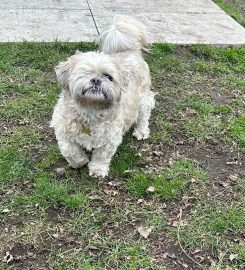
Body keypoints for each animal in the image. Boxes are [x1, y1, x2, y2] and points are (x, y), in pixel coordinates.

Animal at [50, 15, 155, 178]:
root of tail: (130, 50)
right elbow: (69, 150)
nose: (96, 80)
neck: (90, 109)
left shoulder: (111, 138)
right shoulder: (63, 132)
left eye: (108, 76)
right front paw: (79, 161)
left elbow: (102, 155)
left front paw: (97, 169)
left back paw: (141, 131)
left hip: (144, 100)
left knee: (144, 116)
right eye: (84, 73)